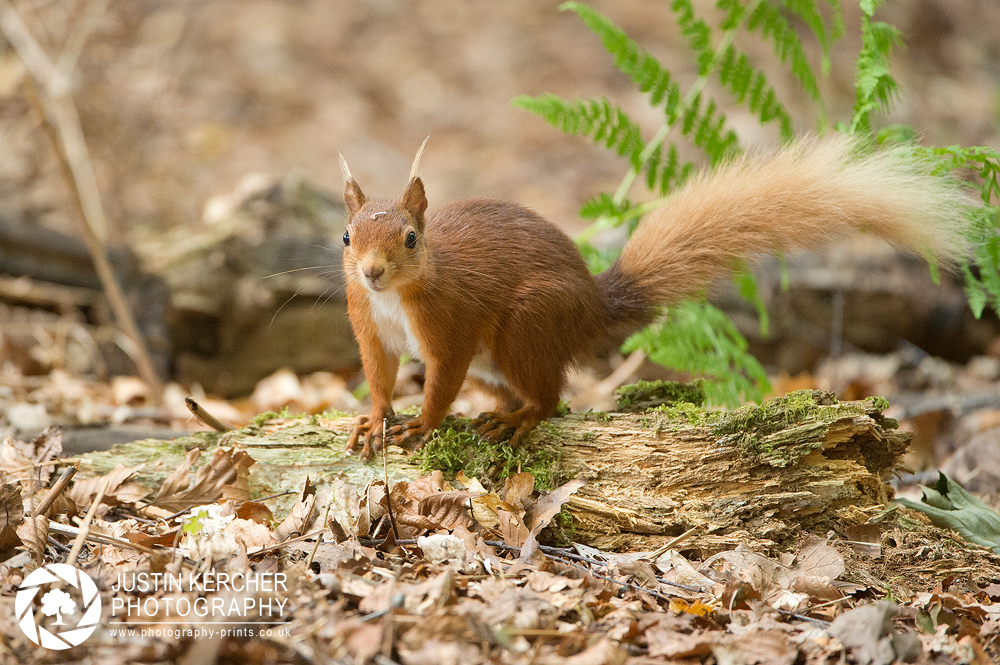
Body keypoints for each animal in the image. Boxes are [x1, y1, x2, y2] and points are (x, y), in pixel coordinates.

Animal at [338, 134, 968, 456]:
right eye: (346, 236)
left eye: (411, 238)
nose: (371, 272)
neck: (396, 299)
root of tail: (591, 309)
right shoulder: (368, 326)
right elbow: (378, 372)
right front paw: (375, 417)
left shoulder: (450, 322)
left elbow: (442, 377)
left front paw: (422, 424)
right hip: (501, 358)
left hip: (526, 326)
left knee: (550, 399)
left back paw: (518, 420)